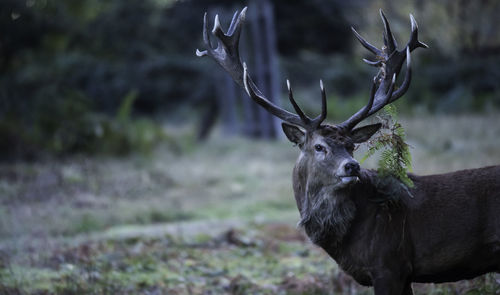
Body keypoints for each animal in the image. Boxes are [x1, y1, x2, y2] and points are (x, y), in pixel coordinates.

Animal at [196, 6, 500, 295]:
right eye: (319, 146)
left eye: (352, 146)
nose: (352, 166)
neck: (349, 240)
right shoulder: (401, 273)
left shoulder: (390, 264)